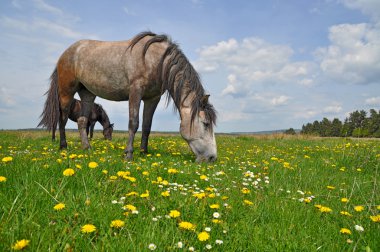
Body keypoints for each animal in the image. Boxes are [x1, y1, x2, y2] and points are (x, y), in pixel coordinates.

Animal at [39, 31, 218, 161]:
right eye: (206, 124)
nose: (212, 158)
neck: (157, 60)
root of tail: (65, 53)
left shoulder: (152, 98)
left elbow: (146, 126)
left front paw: (144, 152)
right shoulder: (135, 92)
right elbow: (134, 123)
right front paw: (129, 154)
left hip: (87, 94)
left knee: (82, 121)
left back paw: (87, 148)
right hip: (66, 92)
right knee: (62, 119)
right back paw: (63, 146)